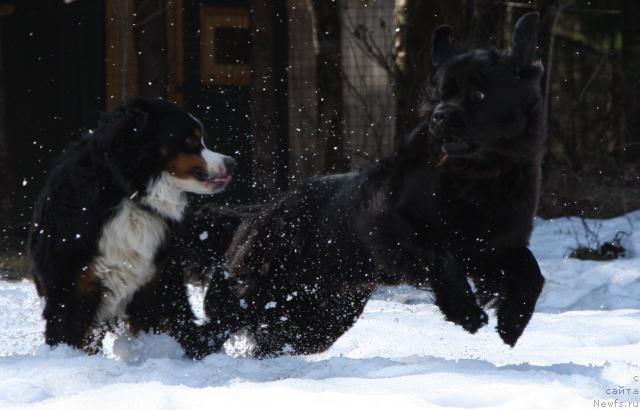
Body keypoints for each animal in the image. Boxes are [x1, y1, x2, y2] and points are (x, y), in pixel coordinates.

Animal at [205, 11, 544, 354]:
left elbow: (532, 272)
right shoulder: (388, 229)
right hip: (257, 285)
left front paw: (512, 323)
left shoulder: (493, 245)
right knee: (220, 318)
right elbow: (441, 258)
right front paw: (466, 312)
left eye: (478, 95)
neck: (477, 176)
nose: (439, 115)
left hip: (319, 314)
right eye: (441, 94)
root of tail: (262, 211)